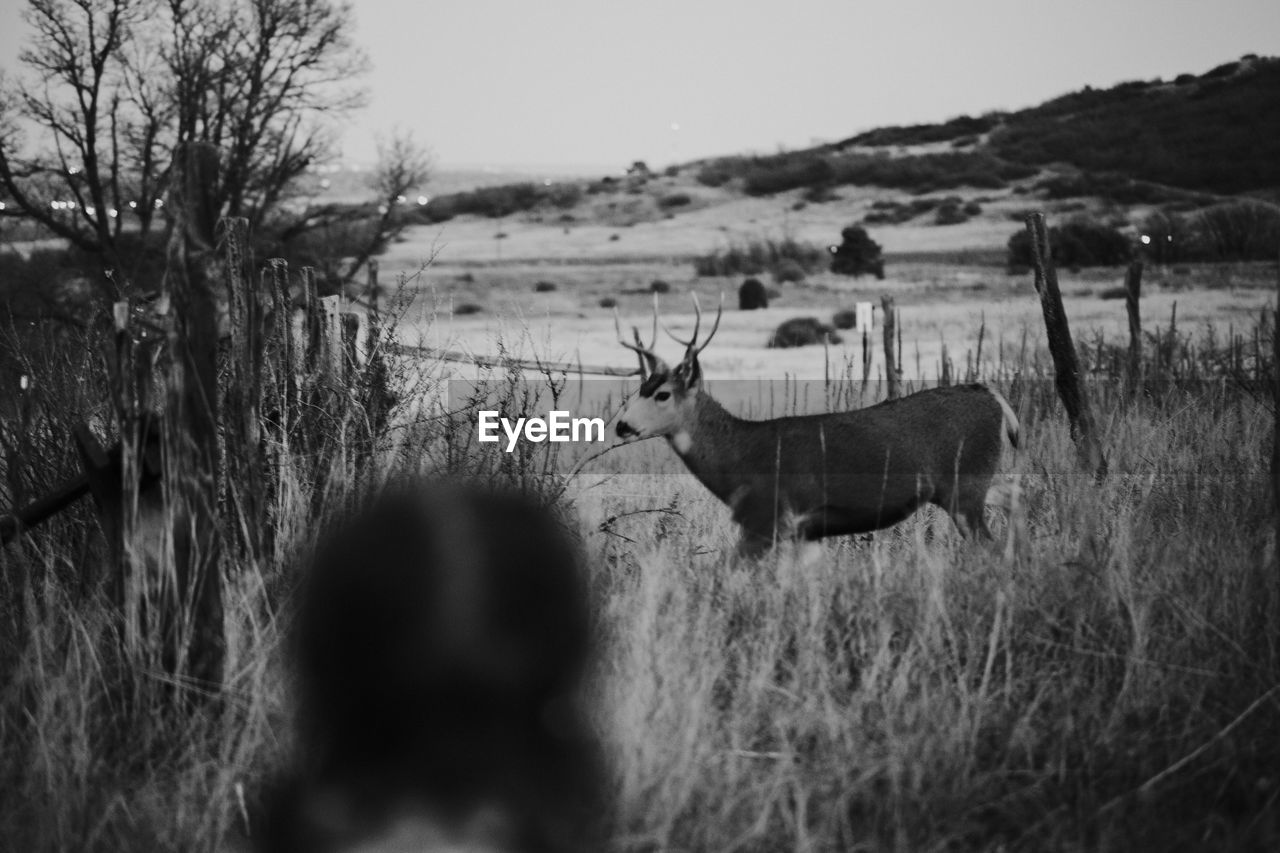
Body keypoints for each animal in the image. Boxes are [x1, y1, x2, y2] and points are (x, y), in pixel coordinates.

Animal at [614, 295, 1024, 555]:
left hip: (964, 487)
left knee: (988, 545)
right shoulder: (803, 532)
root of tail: (993, 396)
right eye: (638, 388)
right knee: (1014, 497)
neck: (740, 459)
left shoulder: (769, 519)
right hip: (973, 482)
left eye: (662, 394)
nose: (621, 426)